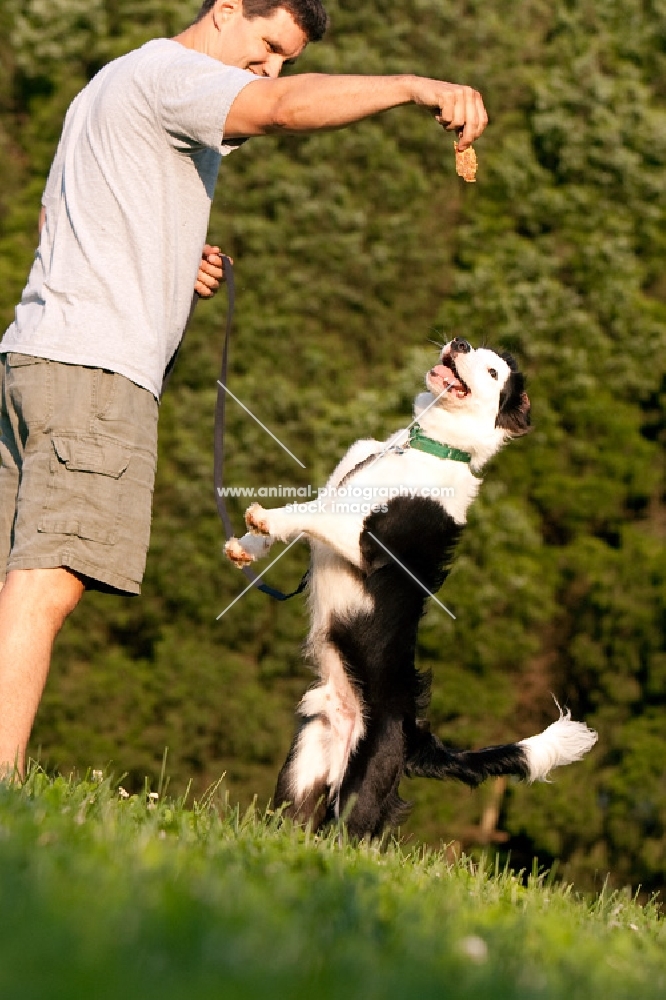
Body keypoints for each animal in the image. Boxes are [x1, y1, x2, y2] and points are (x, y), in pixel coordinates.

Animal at [224, 340, 596, 840]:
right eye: (476, 348)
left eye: (494, 372)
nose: (459, 343)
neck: (423, 447)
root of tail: (413, 737)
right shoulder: (341, 485)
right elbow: (310, 511)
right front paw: (245, 546)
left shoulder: (363, 539)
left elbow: (310, 511)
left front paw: (266, 517)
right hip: (303, 771)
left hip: (361, 790)